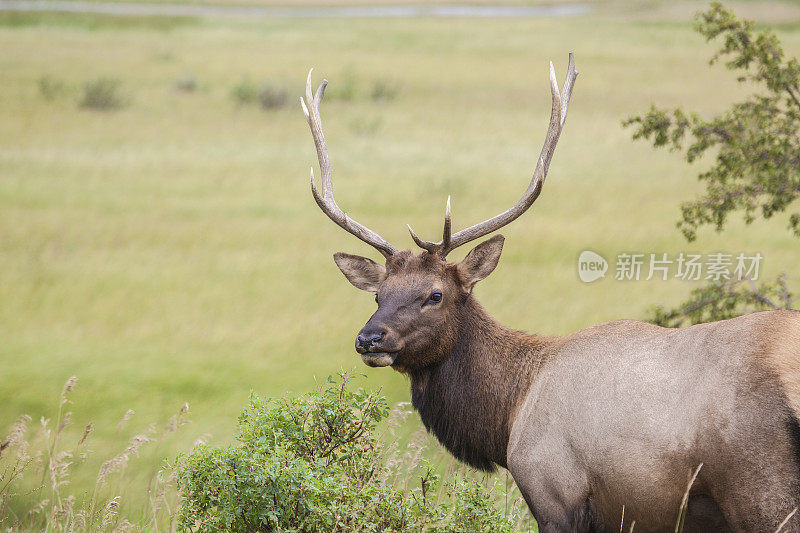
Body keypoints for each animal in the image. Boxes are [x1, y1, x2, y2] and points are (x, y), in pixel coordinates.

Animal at [298, 55, 800, 532]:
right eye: (378, 295)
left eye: (434, 294)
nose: (369, 339)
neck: (508, 414)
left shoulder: (553, 491)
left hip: (760, 488)